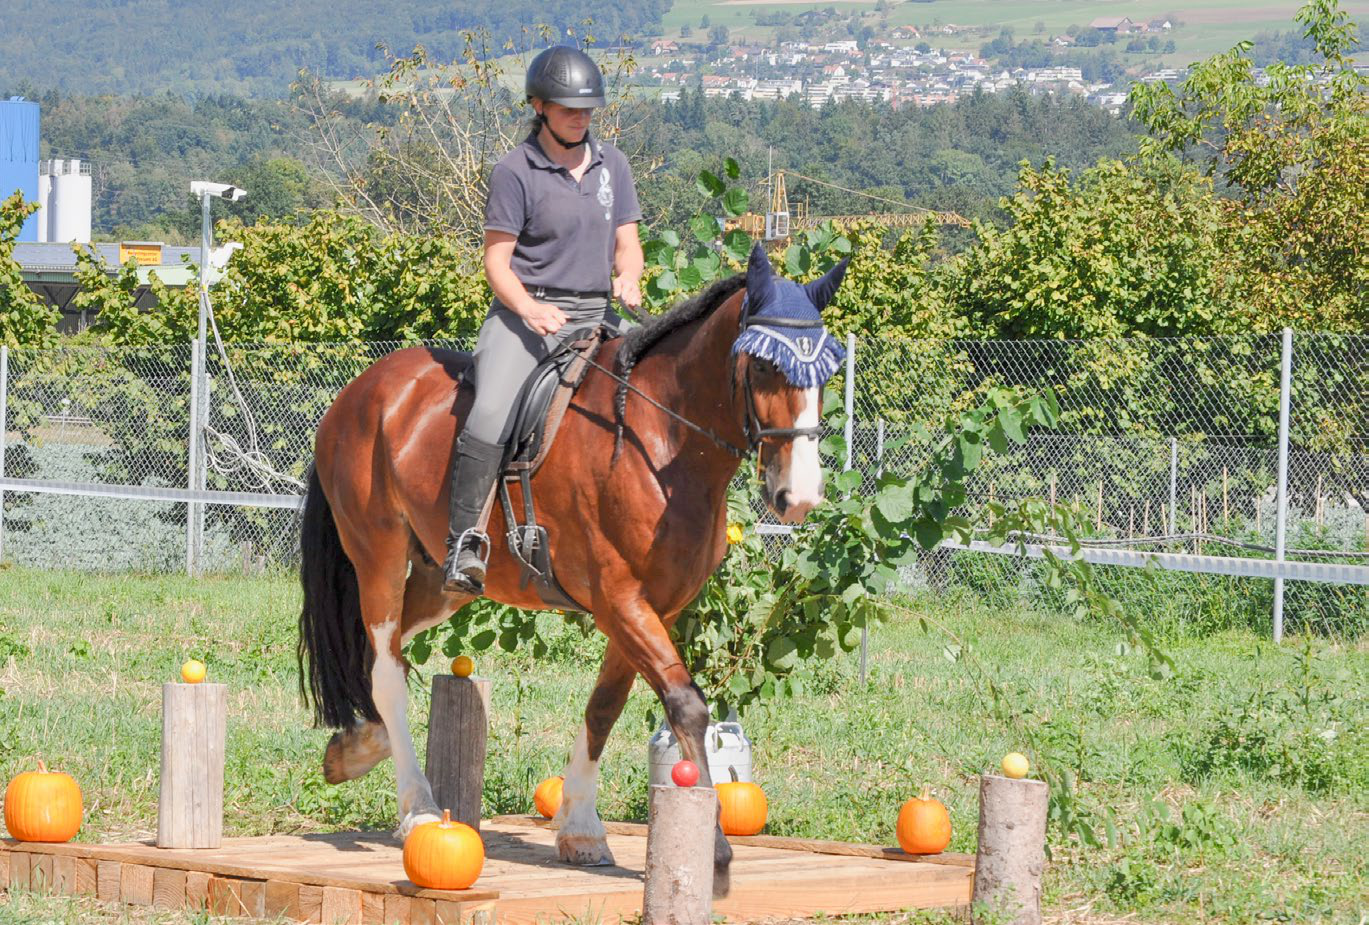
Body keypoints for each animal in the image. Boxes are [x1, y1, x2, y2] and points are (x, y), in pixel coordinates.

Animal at [302, 242, 843, 892]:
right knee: (385, 667)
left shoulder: (650, 608)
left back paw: (358, 747)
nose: (800, 496)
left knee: (389, 652)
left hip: (443, 580)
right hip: (378, 554)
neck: (659, 440)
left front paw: (582, 829)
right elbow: (685, 704)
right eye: (762, 368)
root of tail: (361, 390)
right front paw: (712, 856)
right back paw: (421, 810)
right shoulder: (620, 600)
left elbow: (604, 706)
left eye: (828, 375)